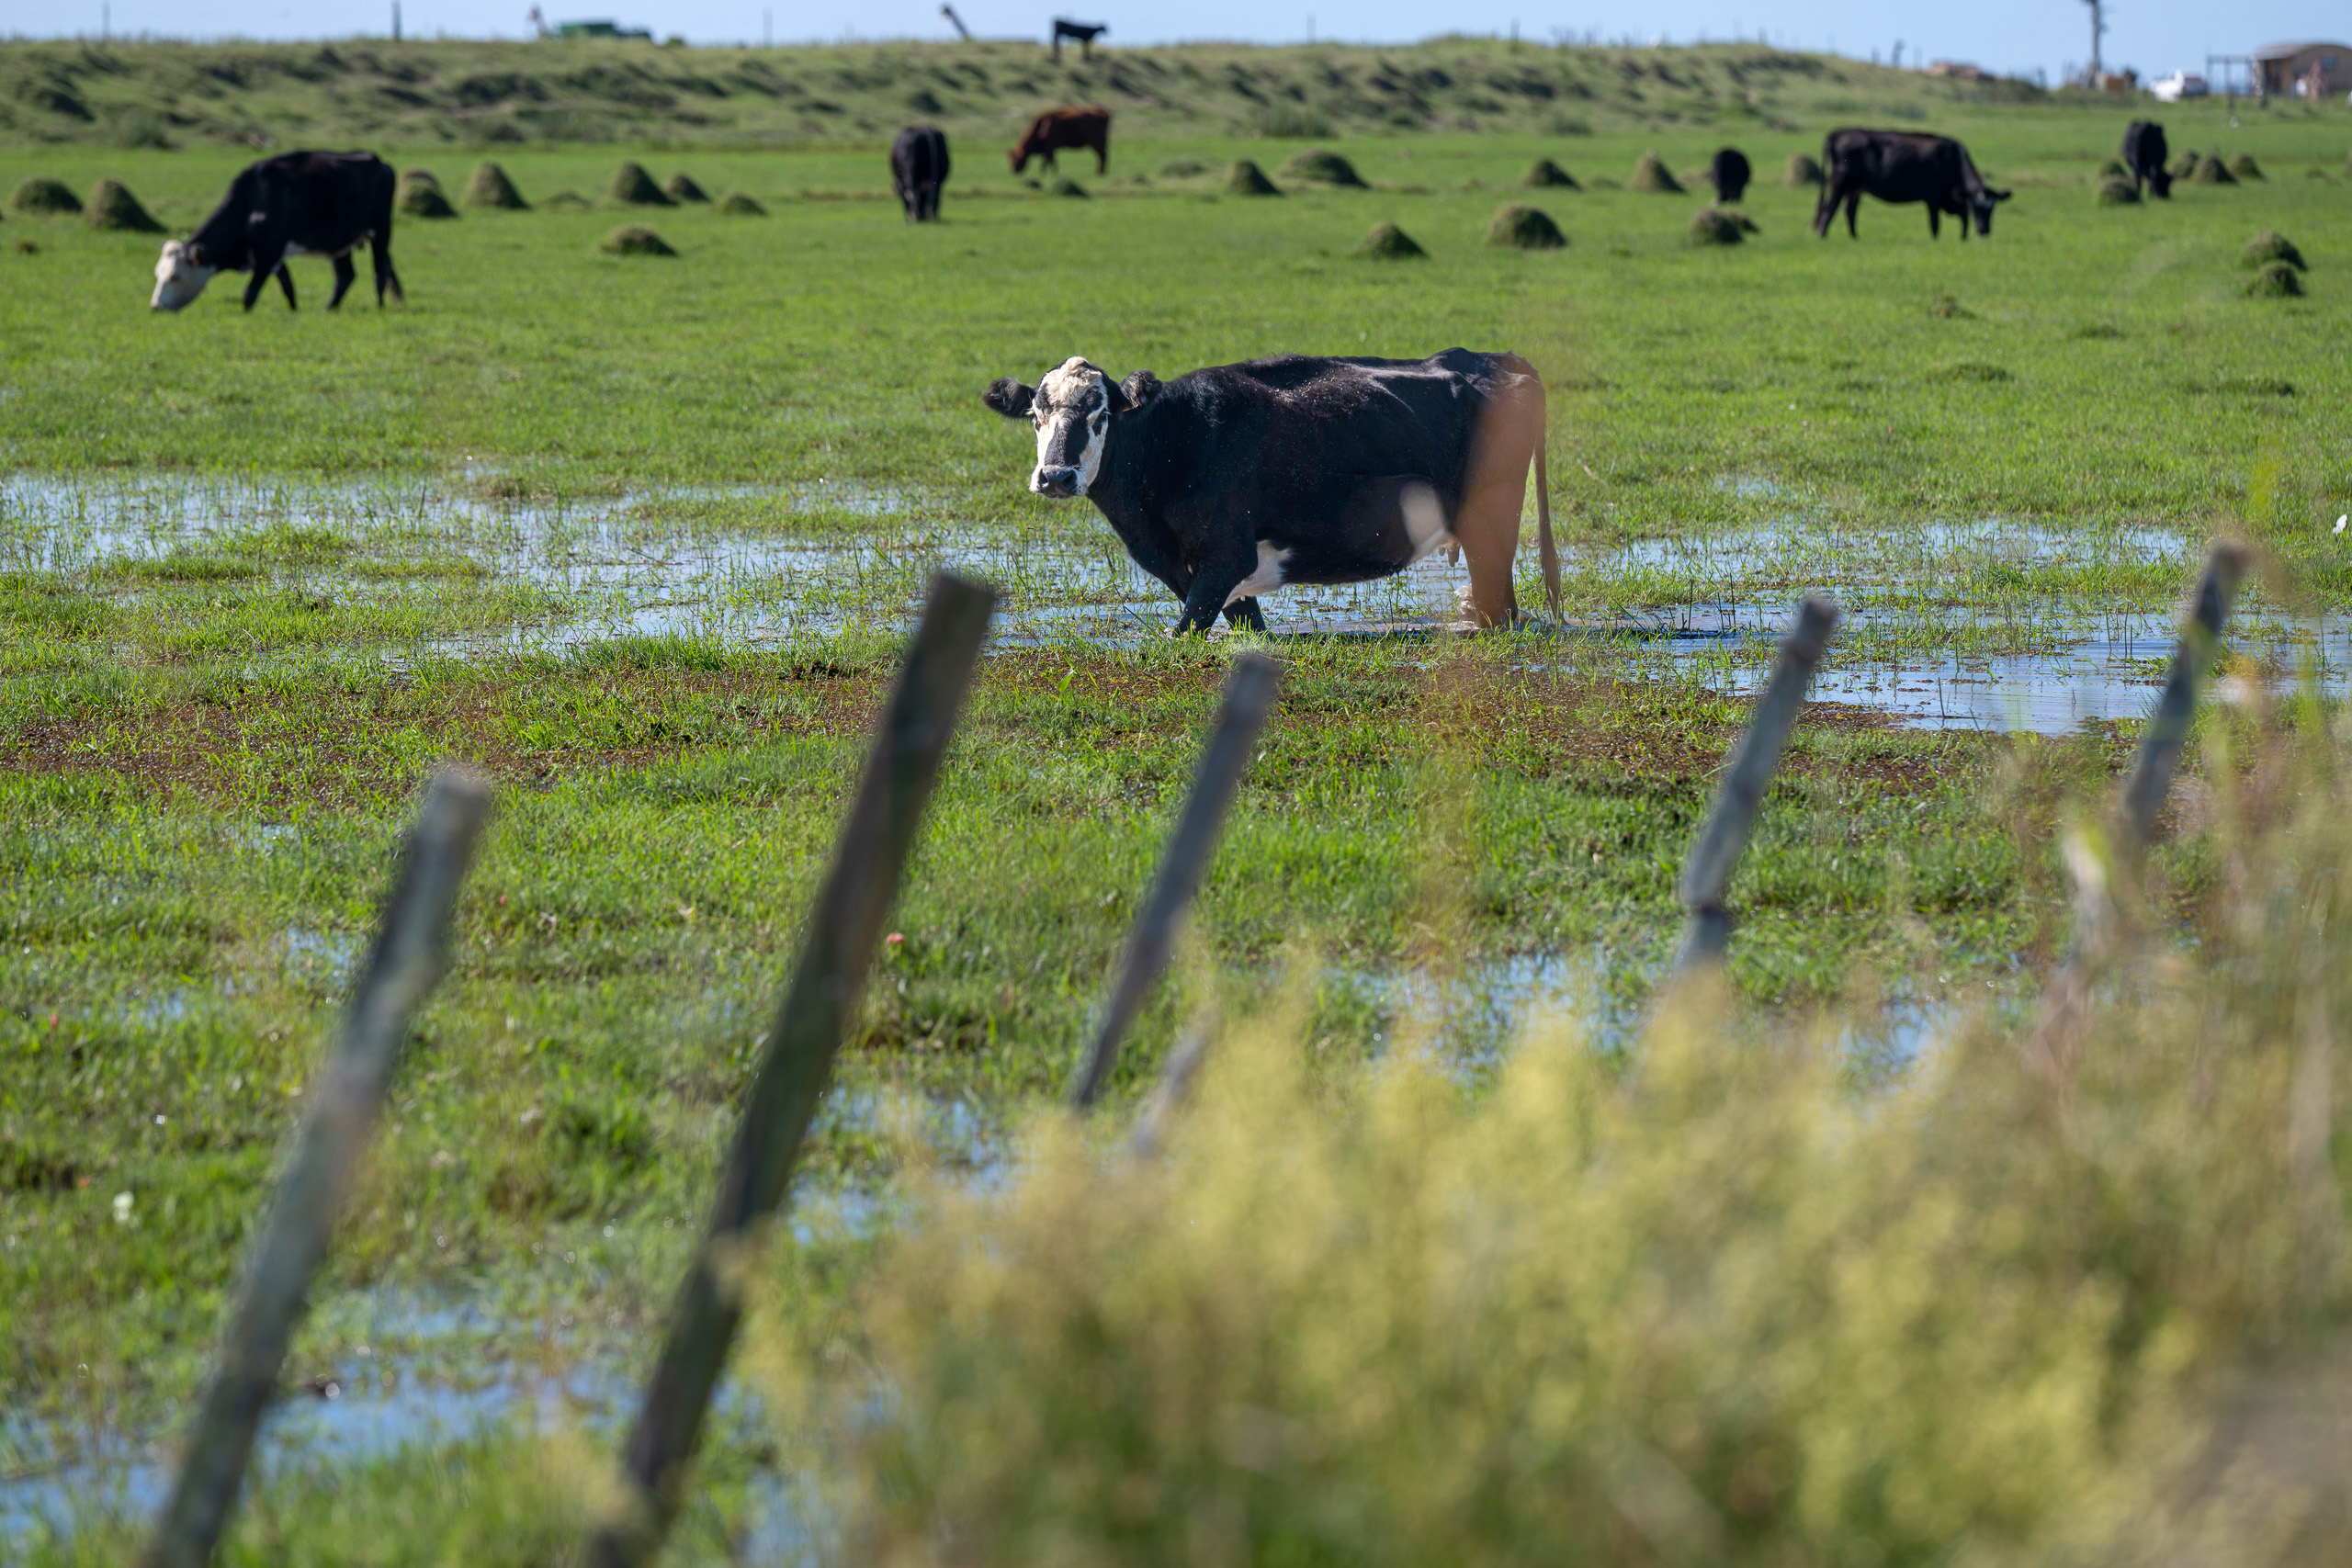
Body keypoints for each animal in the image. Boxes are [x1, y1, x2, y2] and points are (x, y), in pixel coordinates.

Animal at [151, 150, 402, 313]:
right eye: (158, 274)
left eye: (175, 276)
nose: (155, 306)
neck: (253, 201)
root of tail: (379, 162)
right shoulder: (269, 253)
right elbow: (287, 285)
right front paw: (293, 309)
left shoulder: (269, 251)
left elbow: (250, 292)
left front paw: (246, 312)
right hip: (340, 242)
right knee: (346, 276)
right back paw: (329, 307)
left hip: (381, 231)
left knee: (379, 270)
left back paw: (380, 306)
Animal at [981, 350, 1558, 635]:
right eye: (1035, 415)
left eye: (1101, 414)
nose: (1056, 476)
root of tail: (1495, 359)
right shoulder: (1198, 570)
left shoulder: (1226, 555)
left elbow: (1183, 633)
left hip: (1490, 525)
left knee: (1501, 610)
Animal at [1812, 128, 2012, 240]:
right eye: (1975, 207)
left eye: (1992, 209)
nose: (1984, 230)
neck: (1953, 159)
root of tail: (1837, 134)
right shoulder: (1932, 197)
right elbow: (1935, 224)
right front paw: (1935, 241)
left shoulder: (1954, 199)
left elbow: (1963, 220)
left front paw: (1963, 239)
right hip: (1839, 183)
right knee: (1829, 208)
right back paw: (1822, 236)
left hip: (1855, 189)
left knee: (1849, 210)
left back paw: (1855, 237)